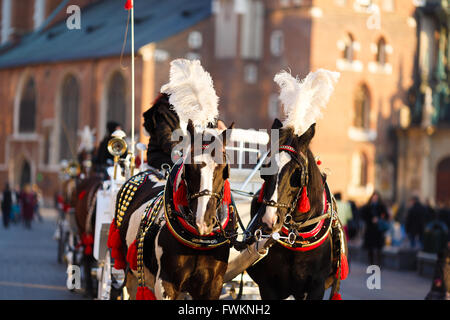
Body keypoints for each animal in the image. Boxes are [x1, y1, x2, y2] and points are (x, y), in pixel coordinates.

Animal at [246, 120, 348, 300]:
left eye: (297, 172)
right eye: (265, 169)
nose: (269, 220)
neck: (296, 238)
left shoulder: (316, 287)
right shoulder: (268, 286)